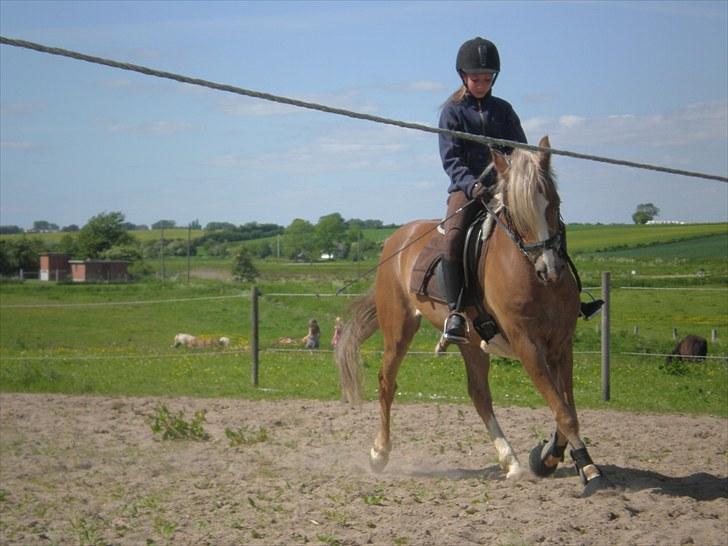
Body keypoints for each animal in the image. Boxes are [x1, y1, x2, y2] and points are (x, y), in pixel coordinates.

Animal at [336, 135, 608, 492]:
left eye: (554, 202)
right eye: (517, 213)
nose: (549, 268)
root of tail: (397, 238)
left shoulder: (562, 345)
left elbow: (566, 406)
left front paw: (548, 457)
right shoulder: (528, 345)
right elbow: (564, 411)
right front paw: (587, 468)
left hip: (471, 341)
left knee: (479, 394)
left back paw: (511, 462)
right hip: (398, 331)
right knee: (387, 382)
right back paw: (379, 453)